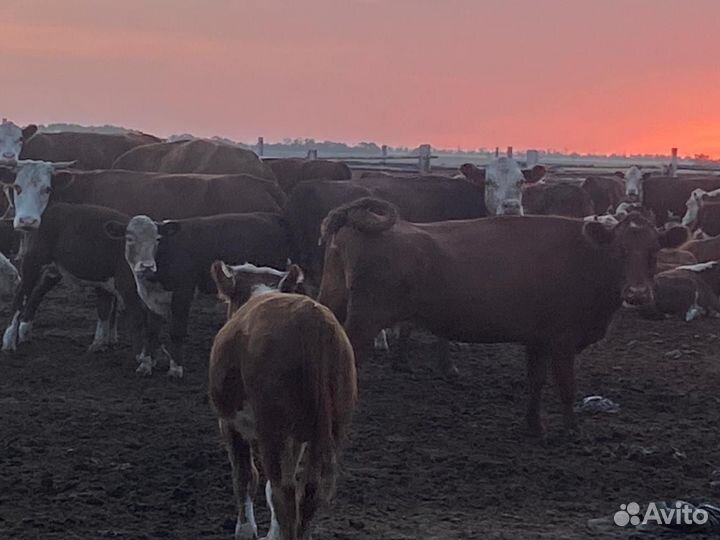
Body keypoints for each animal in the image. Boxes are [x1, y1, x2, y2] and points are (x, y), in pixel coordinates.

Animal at [1, 203, 150, 358]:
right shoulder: (125, 284)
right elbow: (135, 317)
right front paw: (143, 357)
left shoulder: (107, 280)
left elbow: (105, 309)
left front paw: (100, 344)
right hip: (33, 261)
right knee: (21, 295)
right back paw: (9, 342)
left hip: (53, 269)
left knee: (37, 291)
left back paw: (25, 333)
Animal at [104, 213, 291, 377]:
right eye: (130, 239)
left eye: (157, 239)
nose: (147, 266)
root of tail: (272, 217)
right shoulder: (151, 298)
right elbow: (151, 332)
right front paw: (146, 365)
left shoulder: (183, 293)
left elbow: (177, 331)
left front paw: (175, 368)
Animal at [209, 260, 356, 540]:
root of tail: (311, 321)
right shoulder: (297, 438)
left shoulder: (229, 423)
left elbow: (245, 476)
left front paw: (246, 530)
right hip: (332, 427)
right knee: (308, 491)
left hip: (272, 430)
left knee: (283, 491)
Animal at [317, 197, 688, 435]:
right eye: (619, 251)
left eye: (655, 251)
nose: (637, 294)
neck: (586, 256)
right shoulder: (563, 340)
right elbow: (566, 385)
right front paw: (572, 430)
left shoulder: (538, 341)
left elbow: (536, 381)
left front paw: (534, 425)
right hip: (364, 323)